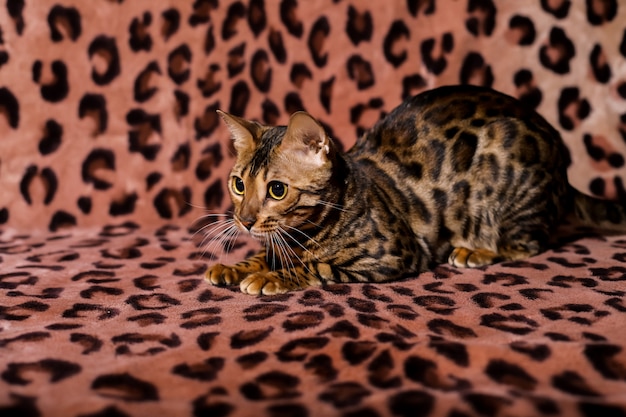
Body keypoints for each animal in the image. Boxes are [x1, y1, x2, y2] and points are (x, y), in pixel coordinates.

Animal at [202, 84, 620, 294]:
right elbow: (267, 254)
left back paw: (476, 251)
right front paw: (236, 266)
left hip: (506, 169)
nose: (243, 221)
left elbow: (317, 266)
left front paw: (272, 277)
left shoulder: (394, 254)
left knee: (527, 244)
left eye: (276, 190)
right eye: (238, 185)